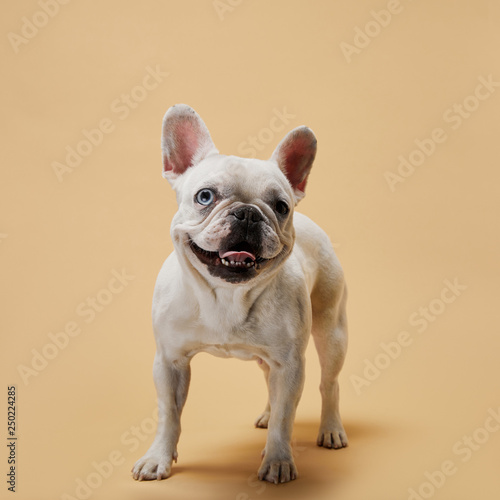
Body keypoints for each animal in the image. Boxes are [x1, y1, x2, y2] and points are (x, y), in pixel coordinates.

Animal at [133, 105, 350, 484]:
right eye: (205, 196)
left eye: (281, 206)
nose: (248, 213)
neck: (226, 296)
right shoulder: (170, 362)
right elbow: (168, 414)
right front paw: (158, 457)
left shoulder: (290, 364)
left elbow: (285, 417)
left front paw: (278, 460)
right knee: (270, 384)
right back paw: (266, 415)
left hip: (331, 333)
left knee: (329, 384)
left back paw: (331, 429)